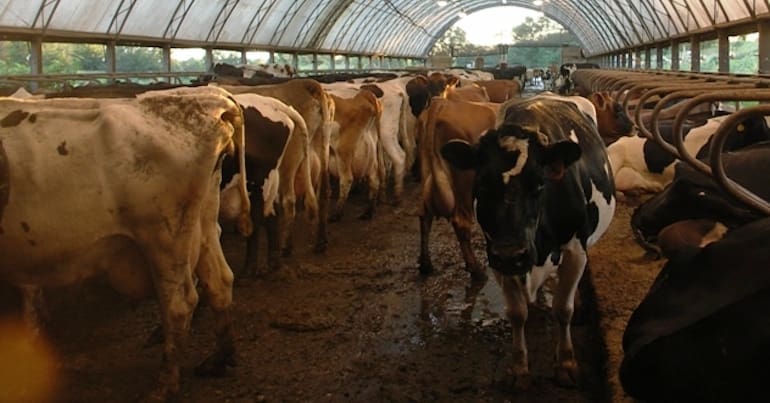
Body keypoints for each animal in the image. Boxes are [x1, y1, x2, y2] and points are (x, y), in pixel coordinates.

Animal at [0, 87, 249, 402]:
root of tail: (209, 99)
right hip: (202, 224)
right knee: (219, 281)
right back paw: (219, 359)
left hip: (163, 237)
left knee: (179, 305)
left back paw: (164, 385)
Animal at [440, 97, 616, 388]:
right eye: (482, 185)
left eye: (539, 184)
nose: (513, 253)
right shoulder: (497, 256)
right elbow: (516, 313)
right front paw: (519, 368)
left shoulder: (575, 250)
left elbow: (563, 309)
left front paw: (566, 363)